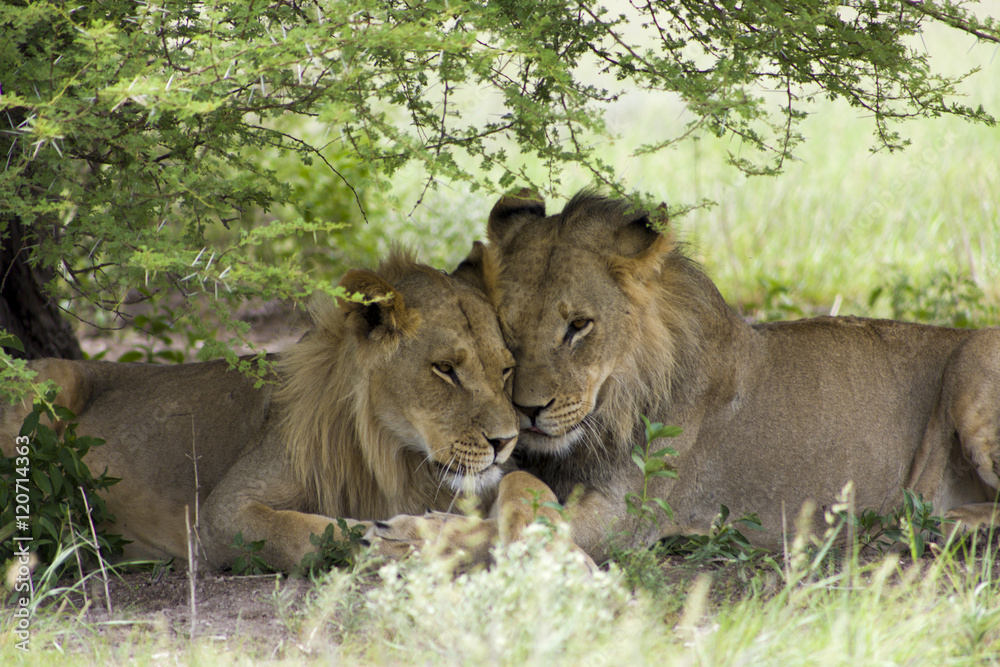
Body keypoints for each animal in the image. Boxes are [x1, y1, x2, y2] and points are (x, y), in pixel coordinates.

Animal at [0, 252, 523, 572]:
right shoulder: (219, 517)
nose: (506, 442)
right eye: (445, 369)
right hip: (51, 382)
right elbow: (301, 530)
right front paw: (392, 538)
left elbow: (508, 515)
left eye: (506, 370)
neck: (391, 452)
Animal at [367, 191, 1000, 563]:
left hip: (973, 364)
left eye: (579, 326)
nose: (526, 412)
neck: (617, 397)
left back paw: (941, 521)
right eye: (507, 326)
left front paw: (407, 533)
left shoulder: (623, 521)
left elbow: (514, 518)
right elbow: (504, 496)